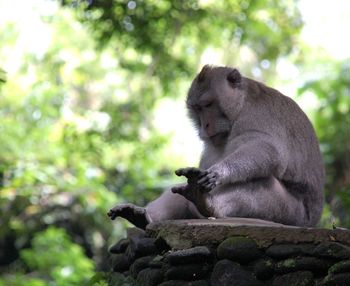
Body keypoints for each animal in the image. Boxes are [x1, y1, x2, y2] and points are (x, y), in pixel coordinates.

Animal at [108, 65, 326, 230]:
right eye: (197, 108)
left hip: (292, 214)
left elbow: (267, 148)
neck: (241, 103)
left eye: (208, 105)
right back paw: (144, 217)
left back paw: (209, 204)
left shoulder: (256, 115)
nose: (204, 125)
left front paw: (220, 172)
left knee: (263, 183)